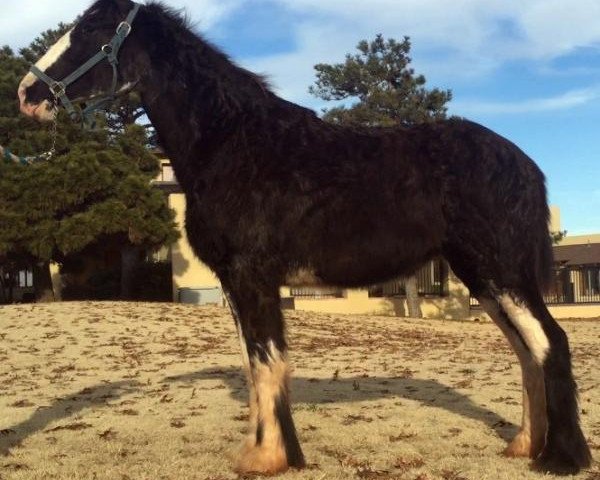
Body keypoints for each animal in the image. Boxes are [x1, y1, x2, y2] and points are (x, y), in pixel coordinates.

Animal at [16, 0, 592, 472]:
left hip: (502, 272)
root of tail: (524, 165)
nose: (27, 94)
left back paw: (560, 459)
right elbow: (254, 363)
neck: (233, 141)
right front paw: (264, 452)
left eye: (93, 29)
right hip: (484, 278)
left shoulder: (253, 276)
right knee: (527, 351)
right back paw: (523, 447)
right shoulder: (236, 282)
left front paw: (269, 459)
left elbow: (268, 360)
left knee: (550, 343)